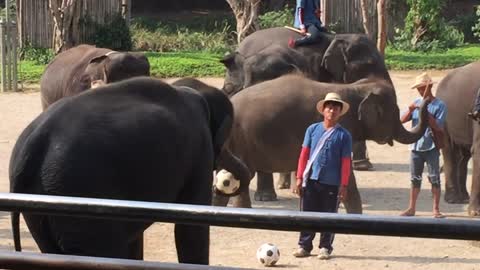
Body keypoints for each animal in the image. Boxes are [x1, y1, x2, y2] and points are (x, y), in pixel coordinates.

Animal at [9, 76, 251, 264]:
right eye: (224, 139)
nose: (223, 186)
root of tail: (34, 144)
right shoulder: (200, 149)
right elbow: (189, 230)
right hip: (76, 194)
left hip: (41, 202)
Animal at [436, 60, 480, 216]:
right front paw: (474, 213)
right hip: (443, 117)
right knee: (449, 150)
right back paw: (453, 199)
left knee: (463, 156)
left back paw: (464, 198)